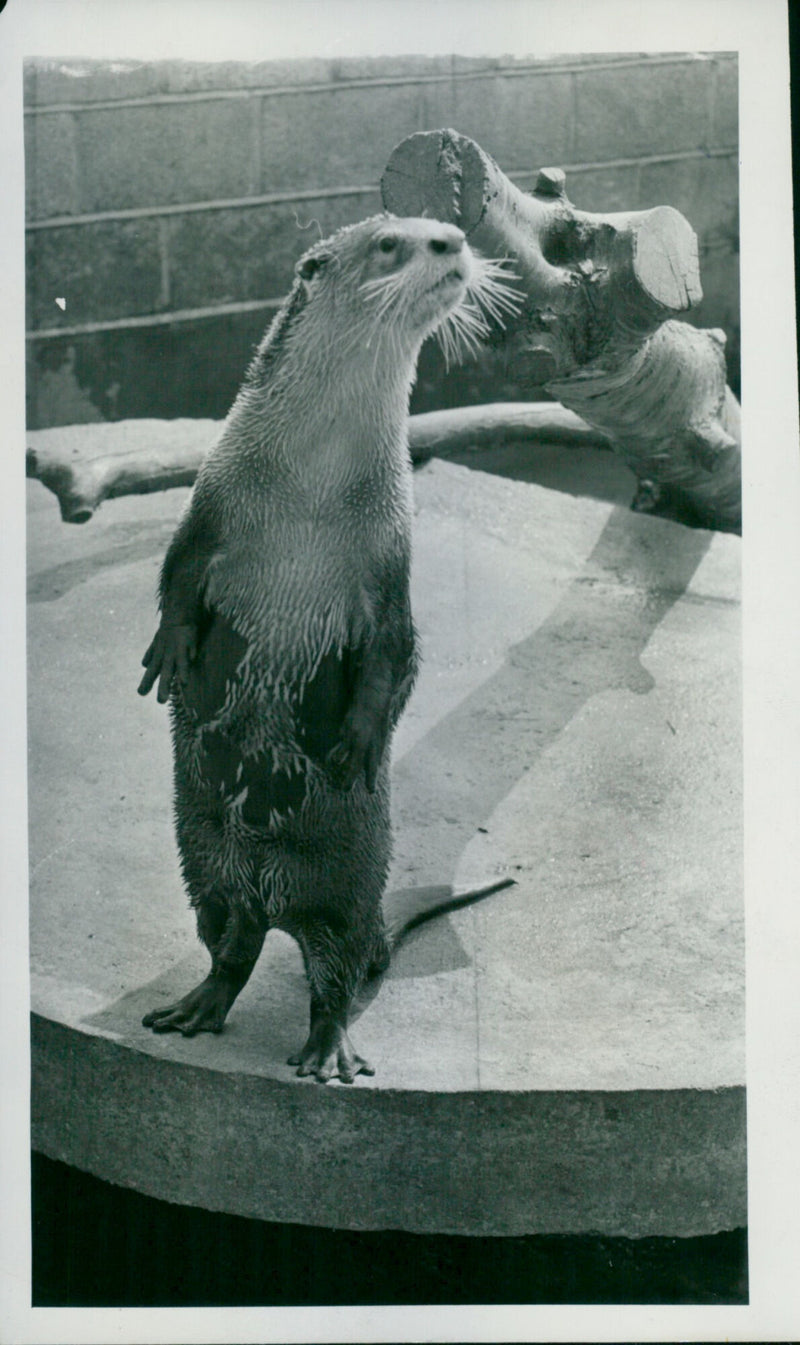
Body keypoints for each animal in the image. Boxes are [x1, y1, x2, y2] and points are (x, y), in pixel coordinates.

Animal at [137, 214, 518, 1083]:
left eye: (446, 229)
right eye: (392, 244)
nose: (453, 239)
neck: (308, 488)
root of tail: (276, 896)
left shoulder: (390, 559)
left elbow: (397, 654)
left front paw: (359, 740)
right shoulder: (210, 500)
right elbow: (174, 574)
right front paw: (169, 654)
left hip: (345, 891)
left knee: (332, 974)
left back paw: (326, 1048)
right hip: (204, 865)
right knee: (232, 946)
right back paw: (198, 1005)